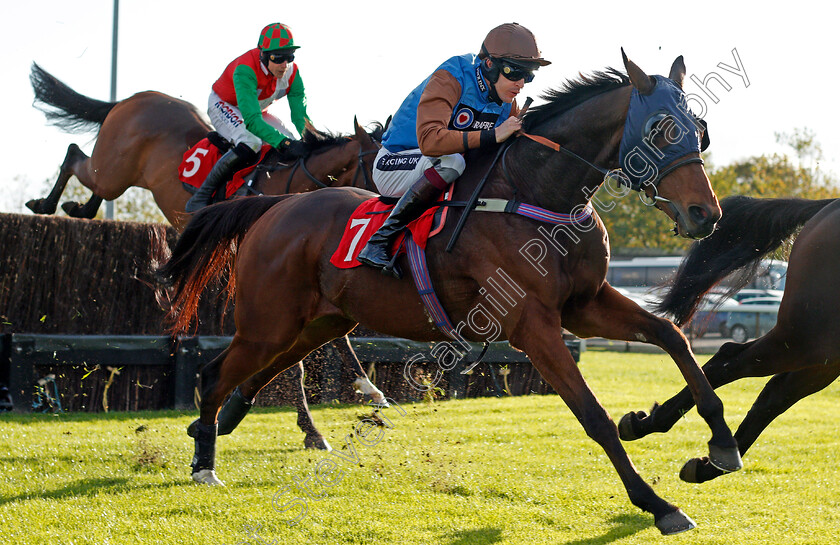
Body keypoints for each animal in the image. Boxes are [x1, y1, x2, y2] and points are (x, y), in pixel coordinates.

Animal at [26, 62, 380, 231]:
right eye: (379, 167)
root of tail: (133, 98)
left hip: (117, 172)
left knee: (92, 182)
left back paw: (78, 208)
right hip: (113, 171)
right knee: (74, 155)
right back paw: (45, 204)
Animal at [154, 53, 740, 532]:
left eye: (700, 129)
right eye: (661, 129)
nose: (705, 214)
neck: (538, 191)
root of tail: (274, 206)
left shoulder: (585, 304)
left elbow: (672, 337)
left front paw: (719, 446)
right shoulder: (533, 325)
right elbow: (593, 416)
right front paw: (659, 505)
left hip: (323, 320)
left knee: (267, 367)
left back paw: (223, 422)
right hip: (268, 322)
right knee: (217, 373)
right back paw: (205, 463)